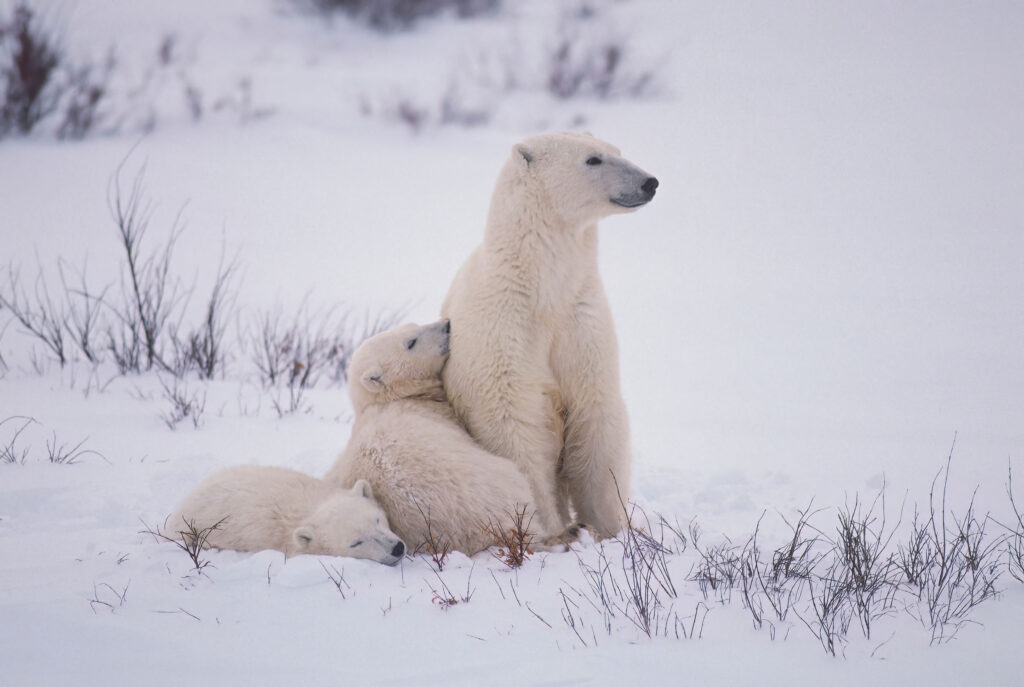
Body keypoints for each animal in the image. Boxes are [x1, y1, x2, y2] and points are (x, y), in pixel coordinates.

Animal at [440, 131, 658, 539]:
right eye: (593, 159)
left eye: (618, 151)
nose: (649, 182)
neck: (543, 291)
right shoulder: (505, 330)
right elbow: (516, 425)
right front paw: (554, 527)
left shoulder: (581, 322)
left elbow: (596, 414)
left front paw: (611, 526)